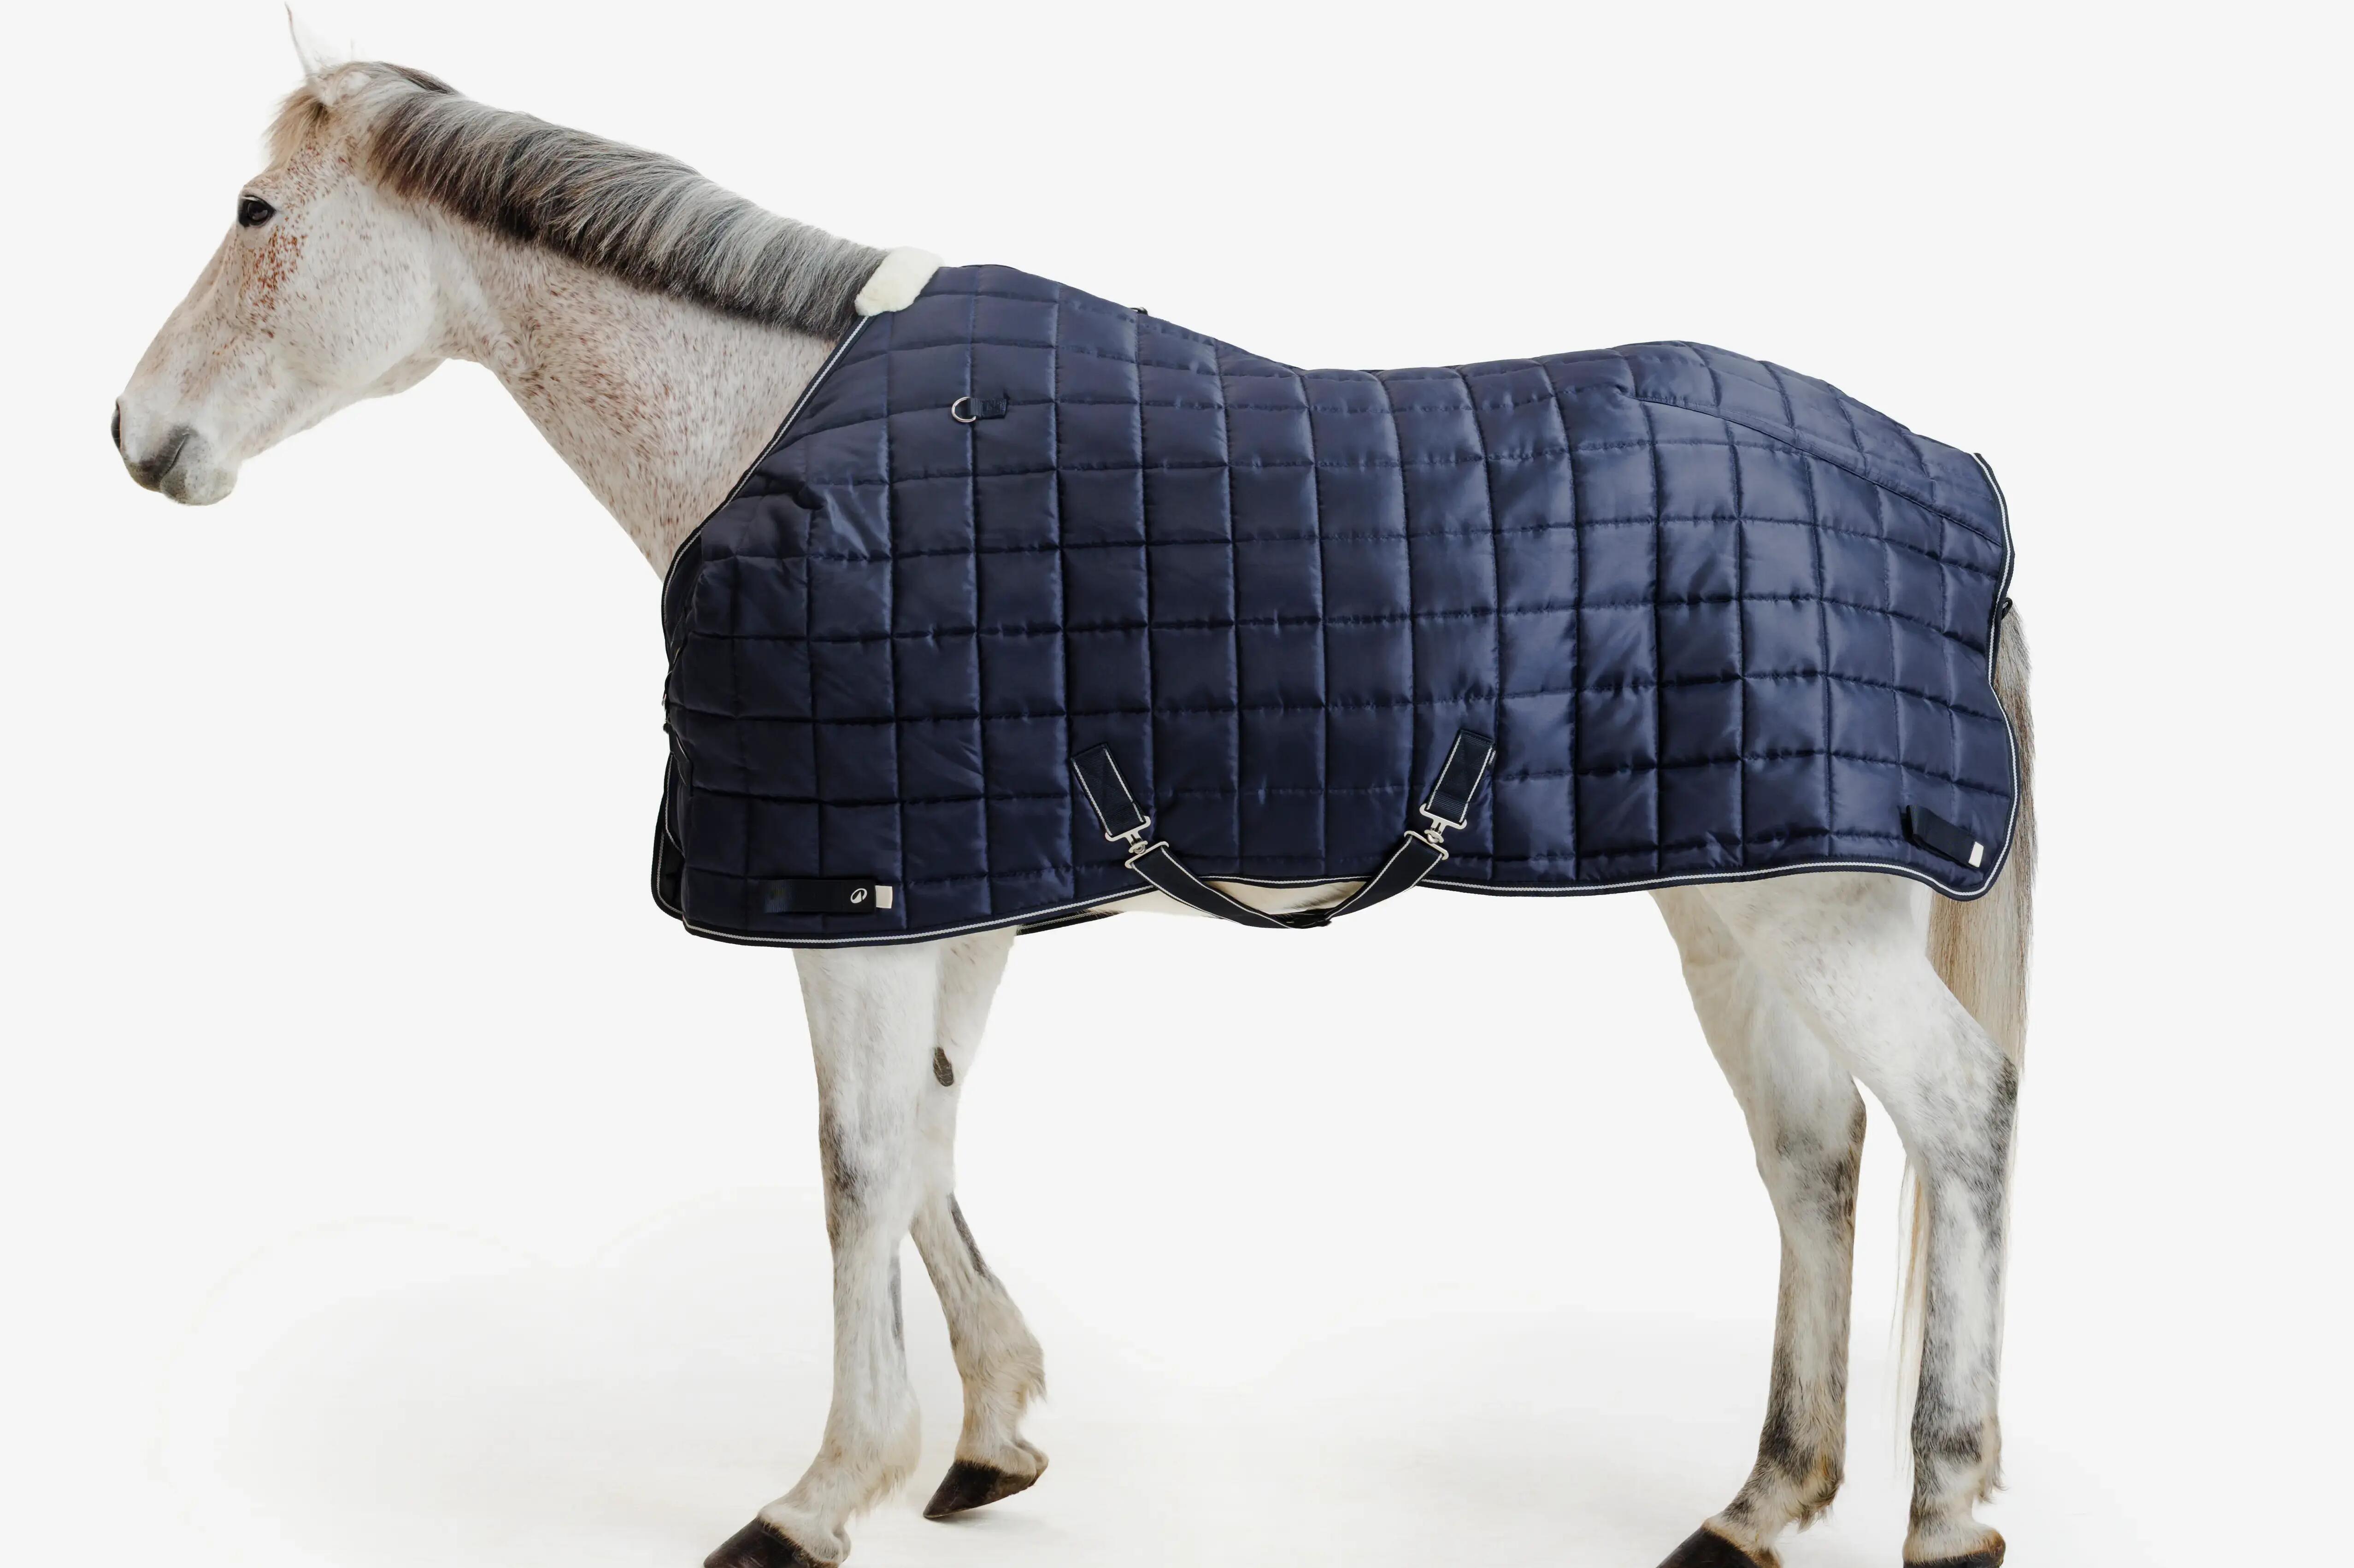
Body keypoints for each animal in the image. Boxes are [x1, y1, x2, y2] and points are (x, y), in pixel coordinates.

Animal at [112, 41, 2034, 1568]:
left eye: (258, 211)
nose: (137, 435)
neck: (779, 427)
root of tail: (1944, 487)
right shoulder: (944, 897)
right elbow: (926, 1141)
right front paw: (988, 1433)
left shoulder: (854, 903)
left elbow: (858, 1161)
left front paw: (823, 1489)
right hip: (1732, 904)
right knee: (1811, 1154)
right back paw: (1764, 1498)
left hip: (1817, 921)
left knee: (1956, 1115)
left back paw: (1945, 1502)